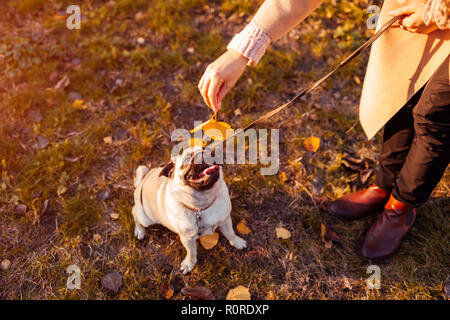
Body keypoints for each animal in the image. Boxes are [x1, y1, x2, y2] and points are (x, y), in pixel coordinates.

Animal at [132, 146, 248, 274]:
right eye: (187, 159)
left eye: (205, 149)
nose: (201, 154)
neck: (200, 206)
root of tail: (142, 180)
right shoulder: (187, 237)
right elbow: (191, 252)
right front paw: (189, 263)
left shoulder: (225, 220)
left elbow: (230, 234)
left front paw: (237, 242)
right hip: (146, 218)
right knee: (135, 214)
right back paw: (139, 231)